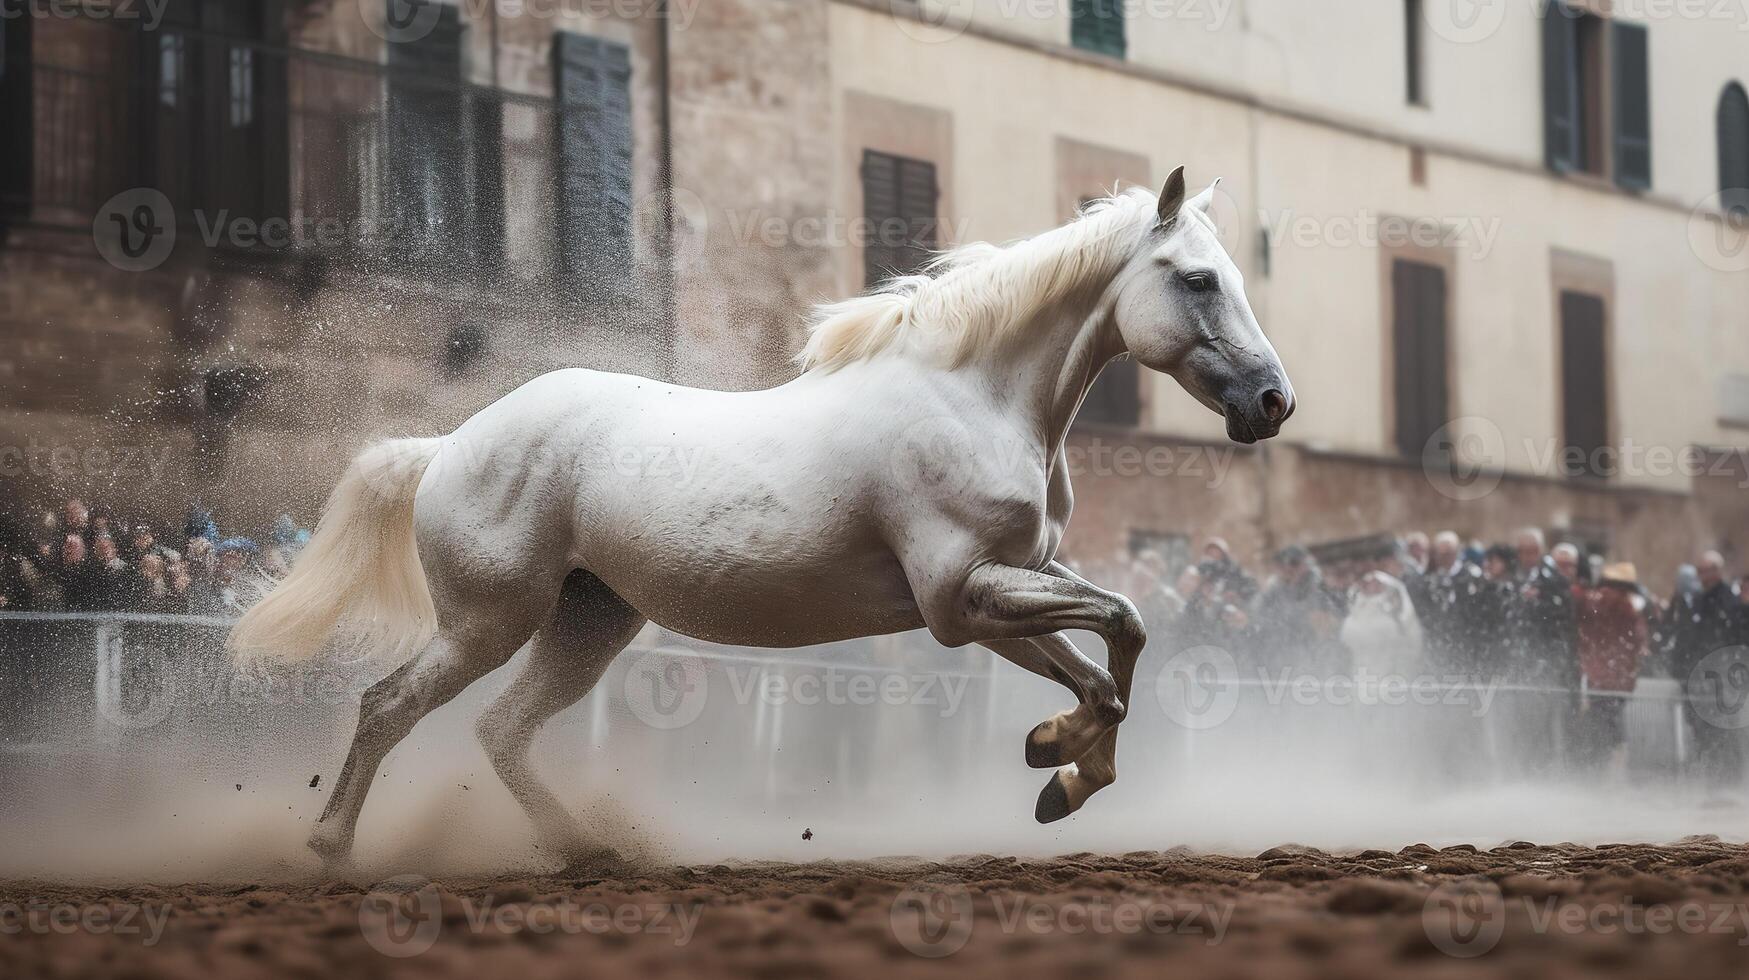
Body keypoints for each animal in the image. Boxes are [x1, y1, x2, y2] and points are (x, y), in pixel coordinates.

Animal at [229, 168, 1301, 864]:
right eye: (1197, 279)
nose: (1271, 402)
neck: (976, 398)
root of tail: (448, 443)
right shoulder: (962, 599)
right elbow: (1120, 631)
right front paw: (1057, 761)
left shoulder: (991, 596)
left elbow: (1113, 662)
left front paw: (1056, 773)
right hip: (489, 620)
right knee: (388, 706)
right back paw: (330, 847)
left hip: (589, 621)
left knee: (499, 732)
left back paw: (588, 850)